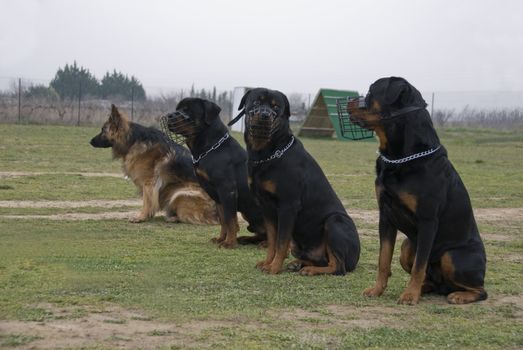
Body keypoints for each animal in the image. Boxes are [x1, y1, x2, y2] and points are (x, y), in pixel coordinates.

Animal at [90, 104, 219, 224]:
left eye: (103, 130)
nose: (90, 141)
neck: (132, 140)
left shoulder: (149, 182)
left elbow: (147, 202)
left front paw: (141, 217)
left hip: (180, 193)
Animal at [163, 97, 268, 247]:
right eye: (178, 109)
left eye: (188, 110)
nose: (169, 115)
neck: (210, 147)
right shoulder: (217, 195)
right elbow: (223, 220)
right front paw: (221, 239)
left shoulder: (227, 190)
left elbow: (230, 220)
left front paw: (229, 243)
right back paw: (246, 239)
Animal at [235, 87, 362, 274]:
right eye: (256, 102)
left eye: (276, 107)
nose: (265, 115)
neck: (266, 153)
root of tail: (356, 257)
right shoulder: (266, 208)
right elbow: (272, 241)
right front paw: (267, 263)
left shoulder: (288, 206)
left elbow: (281, 242)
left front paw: (274, 268)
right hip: (300, 246)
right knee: (321, 260)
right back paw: (298, 264)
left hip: (334, 221)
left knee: (338, 266)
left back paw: (310, 270)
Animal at [348, 76, 492, 304]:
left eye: (371, 91)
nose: (349, 101)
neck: (399, 157)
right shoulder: (385, 216)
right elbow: (383, 260)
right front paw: (377, 290)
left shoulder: (428, 220)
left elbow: (419, 266)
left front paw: (409, 296)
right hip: (407, 246)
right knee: (430, 278)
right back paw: (425, 288)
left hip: (452, 256)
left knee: (480, 289)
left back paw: (458, 295)